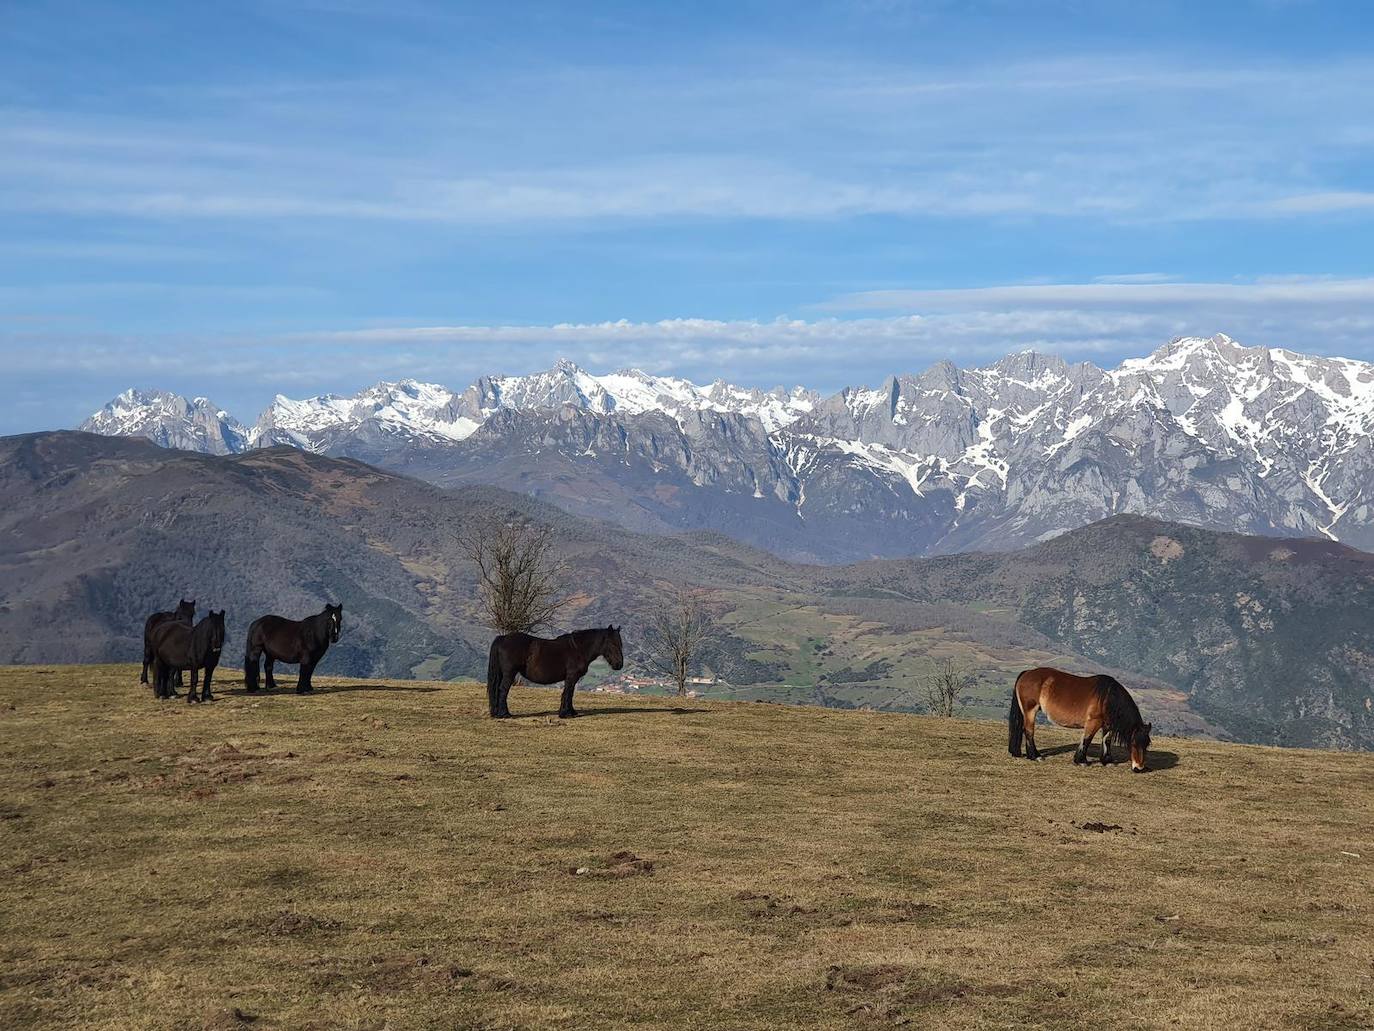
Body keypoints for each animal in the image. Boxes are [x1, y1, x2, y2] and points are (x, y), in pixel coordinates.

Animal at [486, 626, 626, 720]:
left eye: (621, 643)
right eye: (612, 643)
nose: (619, 665)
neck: (578, 649)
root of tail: (503, 638)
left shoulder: (572, 678)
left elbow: (570, 693)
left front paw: (571, 712)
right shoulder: (571, 677)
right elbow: (568, 693)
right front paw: (566, 713)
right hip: (509, 674)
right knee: (503, 690)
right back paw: (505, 714)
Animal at [1005, 670, 1154, 775]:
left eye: (1146, 745)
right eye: (1133, 743)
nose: (1139, 768)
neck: (1107, 697)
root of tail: (1027, 673)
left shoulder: (1108, 725)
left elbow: (1106, 741)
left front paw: (1107, 761)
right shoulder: (1093, 722)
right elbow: (1087, 739)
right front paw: (1081, 761)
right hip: (1030, 711)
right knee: (1029, 731)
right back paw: (1035, 756)